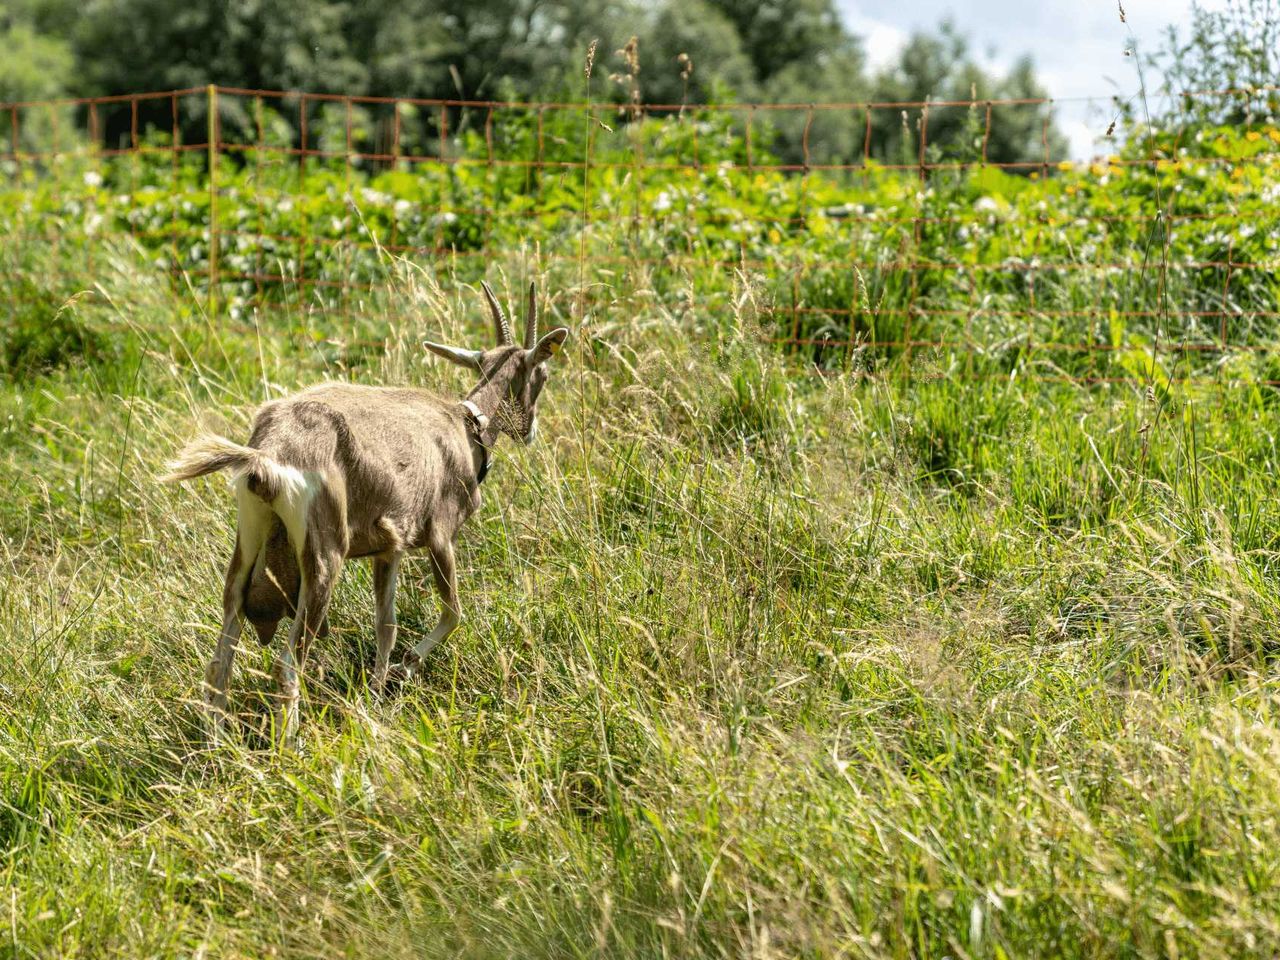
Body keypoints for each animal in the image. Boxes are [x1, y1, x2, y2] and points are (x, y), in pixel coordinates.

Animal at [161, 281, 570, 742]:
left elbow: (385, 625)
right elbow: (453, 612)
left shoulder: (388, 549)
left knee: (220, 660)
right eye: (542, 373)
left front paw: (376, 697)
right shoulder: (440, 536)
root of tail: (267, 453)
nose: (530, 431)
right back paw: (290, 745)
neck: (466, 426)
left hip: (247, 546)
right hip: (324, 559)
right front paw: (405, 668)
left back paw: (216, 743)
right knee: (287, 664)